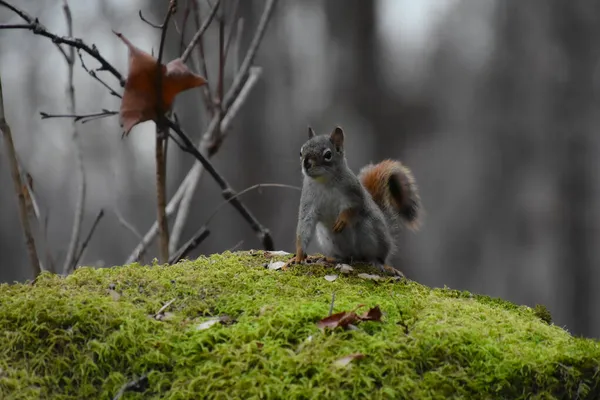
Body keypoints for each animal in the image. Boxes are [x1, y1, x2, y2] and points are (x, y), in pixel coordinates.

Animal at [286, 125, 422, 276]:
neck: (324, 181)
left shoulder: (354, 191)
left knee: (376, 256)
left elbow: (355, 206)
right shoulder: (308, 200)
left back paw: (380, 264)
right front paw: (298, 257)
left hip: (370, 231)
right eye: (301, 152)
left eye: (328, 155)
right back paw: (332, 259)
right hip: (327, 239)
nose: (306, 164)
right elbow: (304, 226)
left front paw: (342, 219)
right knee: (345, 257)